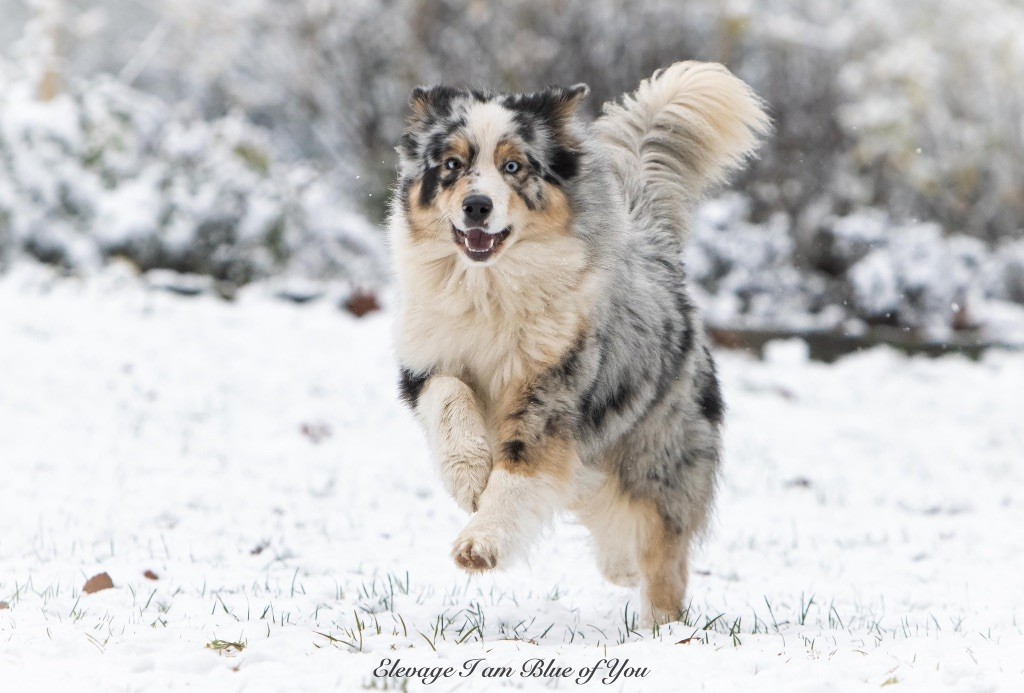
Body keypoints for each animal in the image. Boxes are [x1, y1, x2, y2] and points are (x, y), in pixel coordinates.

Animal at [387, 60, 765, 622]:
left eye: (514, 167)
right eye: (452, 164)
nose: (477, 206)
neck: (490, 291)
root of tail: (655, 245)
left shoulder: (552, 387)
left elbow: (520, 468)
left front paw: (481, 544)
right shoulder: (426, 360)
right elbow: (450, 400)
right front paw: (470, 476)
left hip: (660, 458)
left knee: (661, 552)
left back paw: (661, 625)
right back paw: (621, 566)